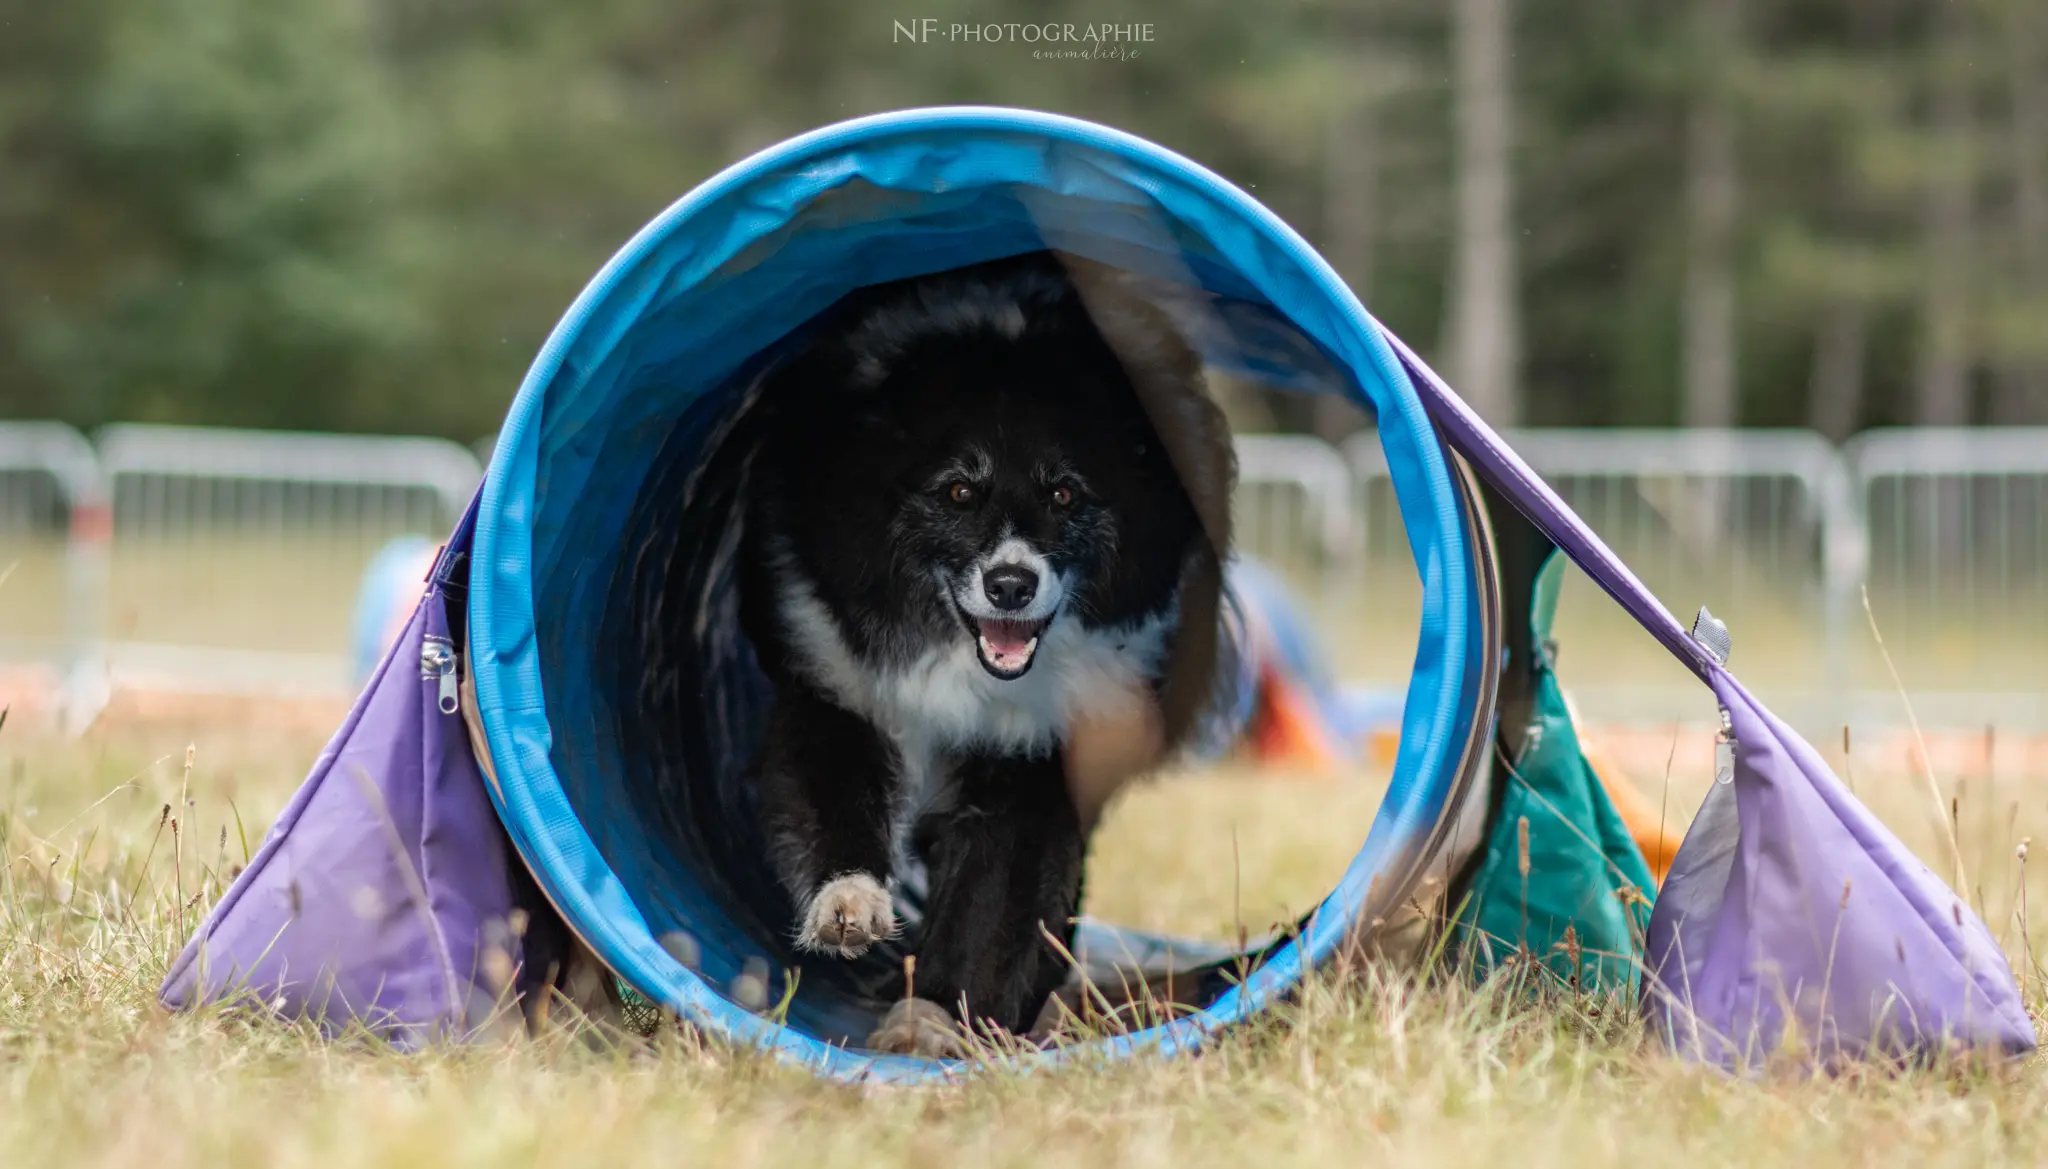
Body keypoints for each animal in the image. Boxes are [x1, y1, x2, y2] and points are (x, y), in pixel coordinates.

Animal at [737, 251, 1228, 1056]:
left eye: (1065, 495)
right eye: (960, 492)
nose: (1010, 585)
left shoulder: (1037, 746)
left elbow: (997, 892)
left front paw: (936, 1020)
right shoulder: (833, 675)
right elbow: (829, 792)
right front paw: (850, 909)